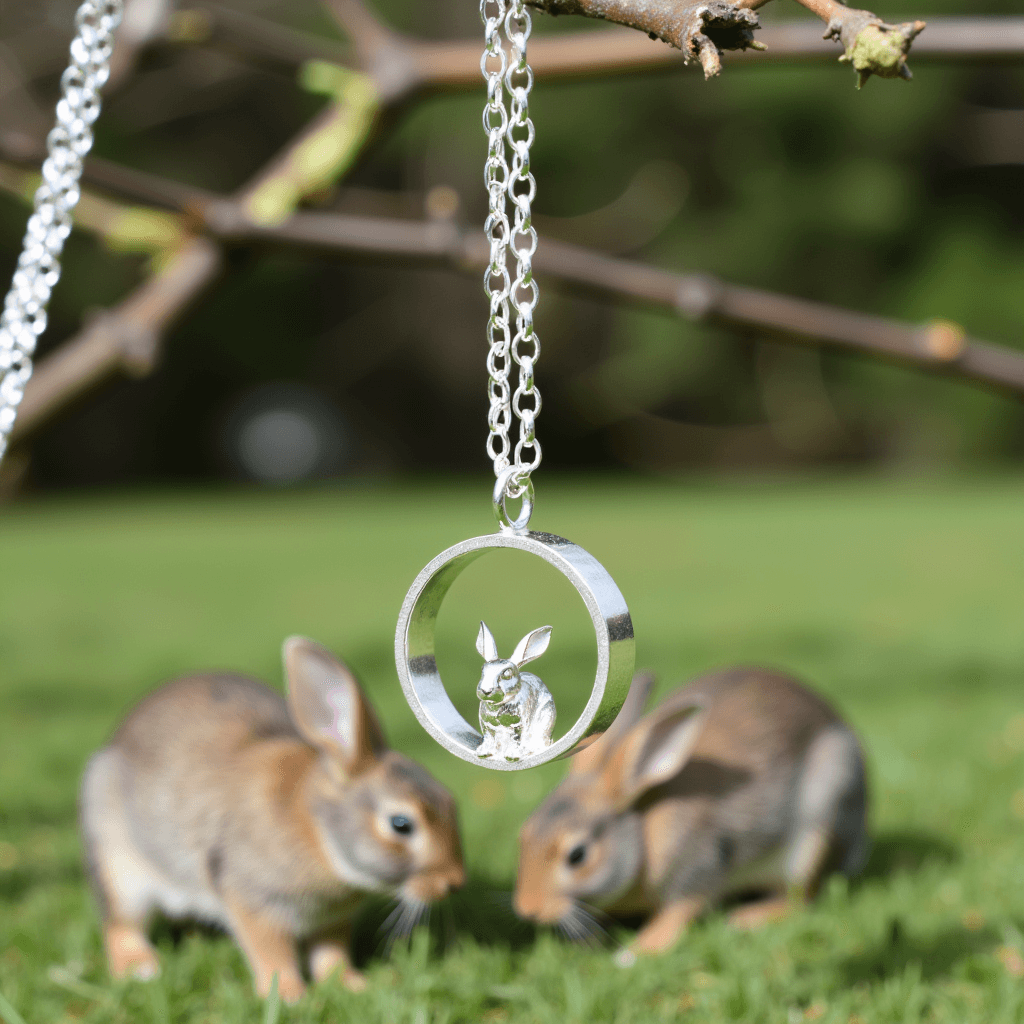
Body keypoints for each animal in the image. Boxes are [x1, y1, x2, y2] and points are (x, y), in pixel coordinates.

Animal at [79, 636, 465, 1002]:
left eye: (450, 801)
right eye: (401, 824)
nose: (453, 882)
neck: (318, 830)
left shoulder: (331, 920)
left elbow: (331, 954)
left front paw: (353, 986)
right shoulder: (253, 901)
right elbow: (272, 955)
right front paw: (290, 997)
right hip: (118, 867)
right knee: (120, 924)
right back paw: (141, 969)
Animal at [475, 621, 556, 761]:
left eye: (507, 673)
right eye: (482, 670)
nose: (486, 690)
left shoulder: (518, 726)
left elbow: (516, 739)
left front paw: (512, 756)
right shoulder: (486, 725)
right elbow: (489, 738)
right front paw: (483, 752)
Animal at [513, 666, 868, 961]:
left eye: (577, 855)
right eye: (524, 835)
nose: (528, 909)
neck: (642, 828)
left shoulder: (698, 868)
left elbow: (680, 912)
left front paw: (635, 953)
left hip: (817, 831)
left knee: (800, 897)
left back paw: (745, 919)